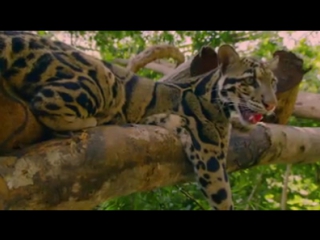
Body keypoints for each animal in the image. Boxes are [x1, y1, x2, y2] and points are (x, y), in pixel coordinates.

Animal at [0, 31, 278, 209]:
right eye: (250, 81)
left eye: (273, 82)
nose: (271, 103)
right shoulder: (209, 151)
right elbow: (223, 196)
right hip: (105, 82)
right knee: (44, 103)